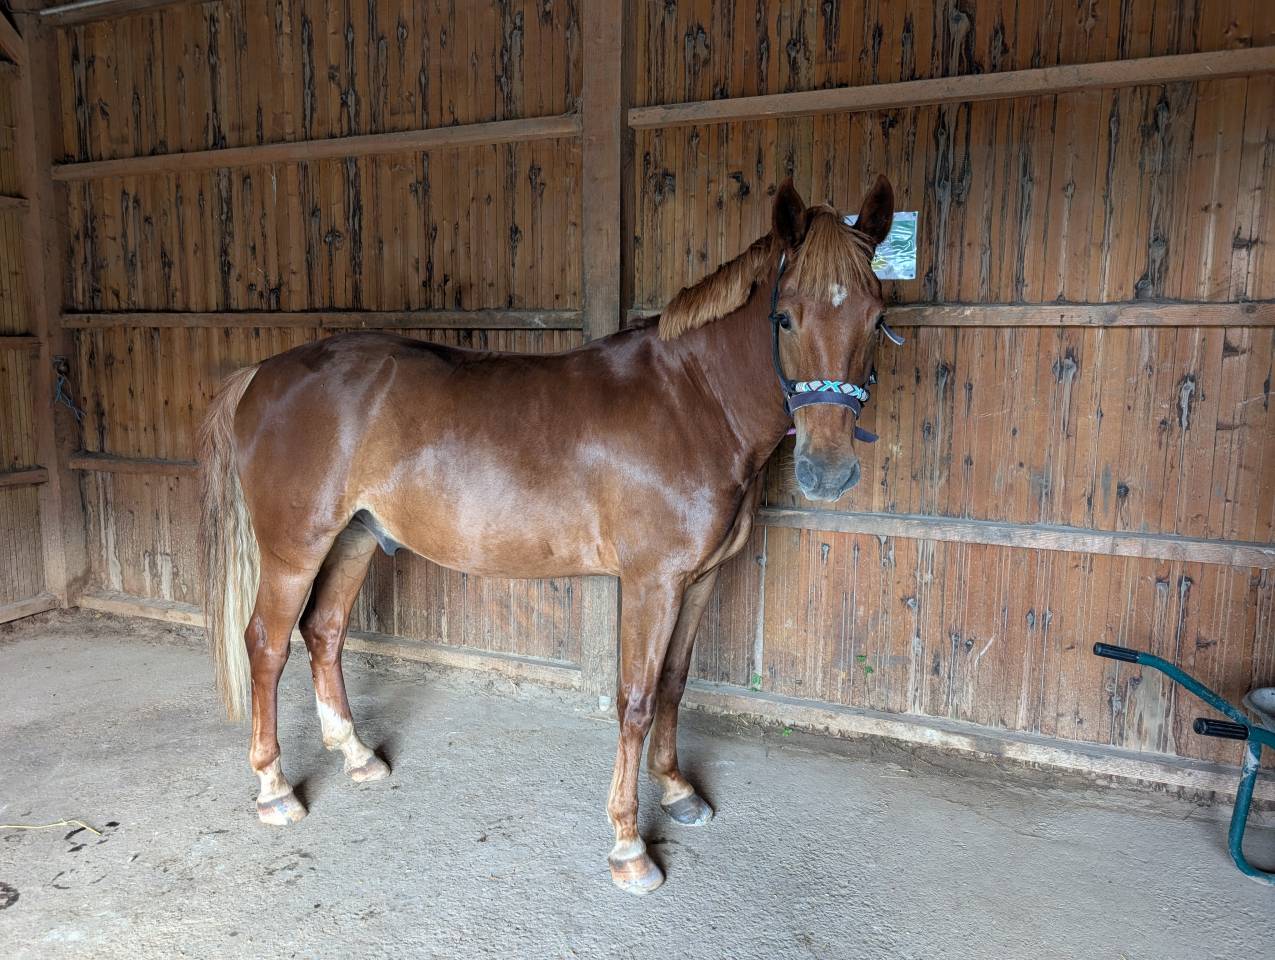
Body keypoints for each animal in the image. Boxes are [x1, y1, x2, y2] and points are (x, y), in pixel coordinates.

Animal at [198, 176, 898, 895]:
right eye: (784, 317)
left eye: (876, 317)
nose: (828, 470)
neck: (692, 402)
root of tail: (262, 374)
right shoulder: (652, 584)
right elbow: (637, 700)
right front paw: (628, 845)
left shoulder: (700, 580)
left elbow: (675, 683)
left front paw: (678, 791)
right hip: (294, 550)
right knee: (267, 645)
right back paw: (275, 788)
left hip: (355, 538)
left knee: (325, 632)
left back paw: (357, 755)